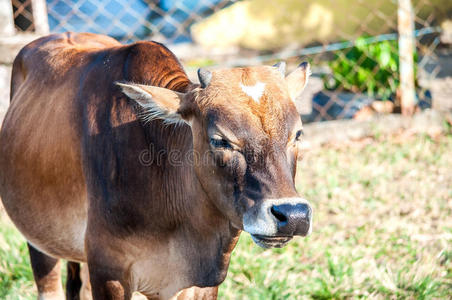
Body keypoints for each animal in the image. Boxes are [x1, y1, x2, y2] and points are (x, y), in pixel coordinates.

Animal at [0, 31, 310, 298]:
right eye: (220, 140)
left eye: (297, 134)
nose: (292, 215)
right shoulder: (109, 272)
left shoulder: (202, 282)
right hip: (39, 241)